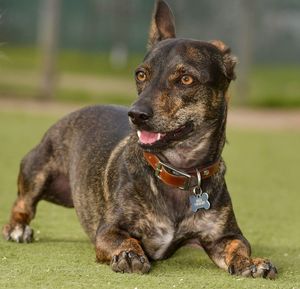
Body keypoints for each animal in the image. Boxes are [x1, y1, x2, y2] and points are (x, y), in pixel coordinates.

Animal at [3, 0, 278, 280]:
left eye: (186, 79)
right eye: (141, 75)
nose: (136, 114)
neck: (179, 171)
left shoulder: (225, 236)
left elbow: (238, 248)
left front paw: (251, 262)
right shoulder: (109, 231)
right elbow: (126, 240)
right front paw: (129, 254)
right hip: (36, 172)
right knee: (22, 204)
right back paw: (17, 229)